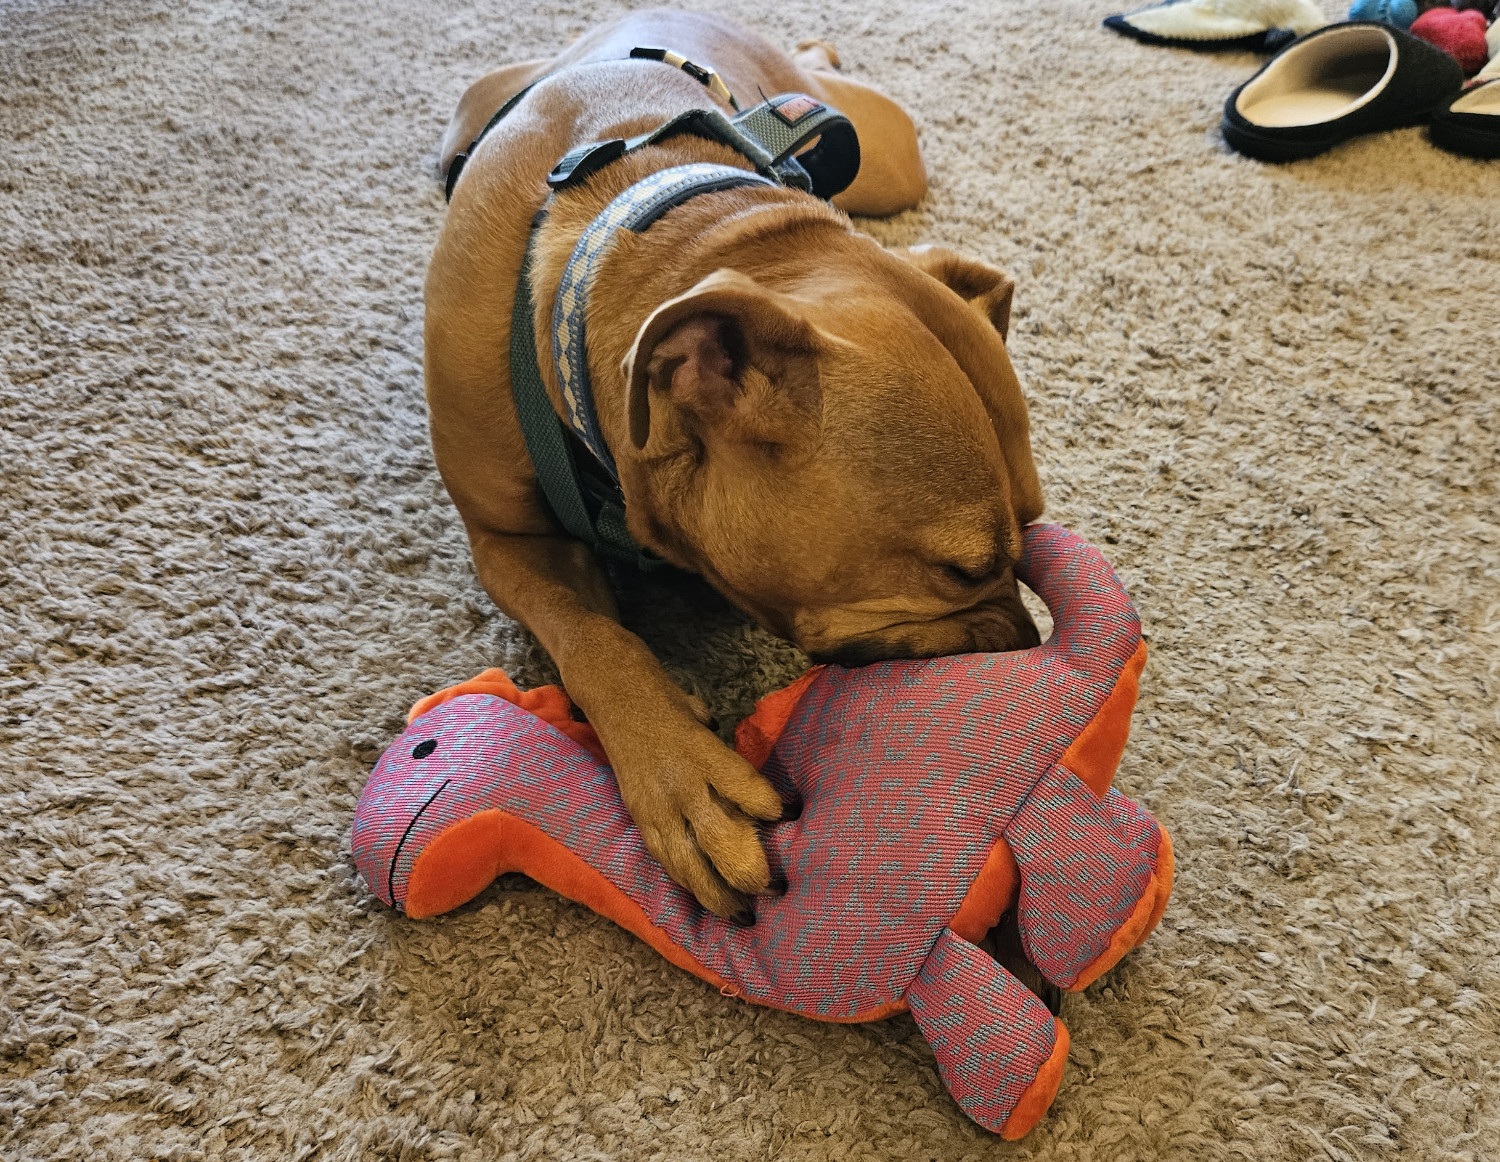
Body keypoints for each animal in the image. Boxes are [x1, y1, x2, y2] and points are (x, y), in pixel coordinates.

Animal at [426, 9, 1044, 917]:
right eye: (961, 570)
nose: (1031, 644)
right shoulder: (507, 544)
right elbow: (595, 637)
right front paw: (682, 774)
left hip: (889, 160)